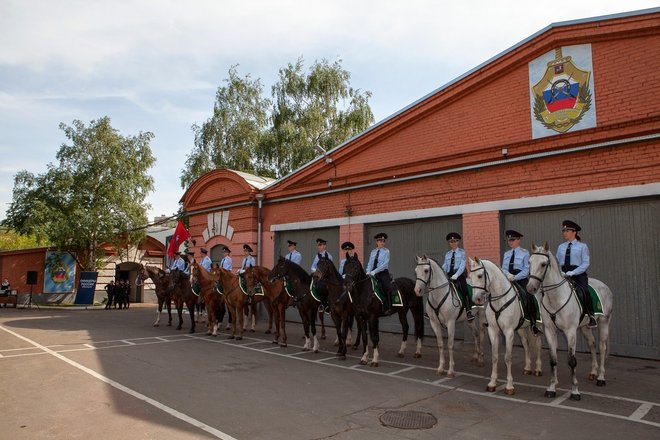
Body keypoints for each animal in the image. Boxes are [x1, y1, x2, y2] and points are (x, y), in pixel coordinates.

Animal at [468, 257, 543, 395]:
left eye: (480, 275)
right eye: (470, 276)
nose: (476, 299)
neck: (500, 300)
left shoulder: (508, 332)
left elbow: (508, 358)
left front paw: (509, 386)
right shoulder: (493, 331)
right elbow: (495, 356)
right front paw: (492, 383)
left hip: (539, 326)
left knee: (538, 344)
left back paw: (538, 369)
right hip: (521, 328)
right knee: (525, 344)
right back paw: (527, 368)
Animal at [527, 244, 613, 400]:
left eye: (543, 264)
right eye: (529, 262)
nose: (530, 288)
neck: (556, 298)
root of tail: (604, 286)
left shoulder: (571, 332)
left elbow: (572, 361)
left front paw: (575, 391)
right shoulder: (550, 331)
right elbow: (553, 360)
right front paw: (551, 388)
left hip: (604, 322)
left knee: (602, 347)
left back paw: (601, 378)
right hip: (585, 327)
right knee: (592, 344)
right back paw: (593, 372)